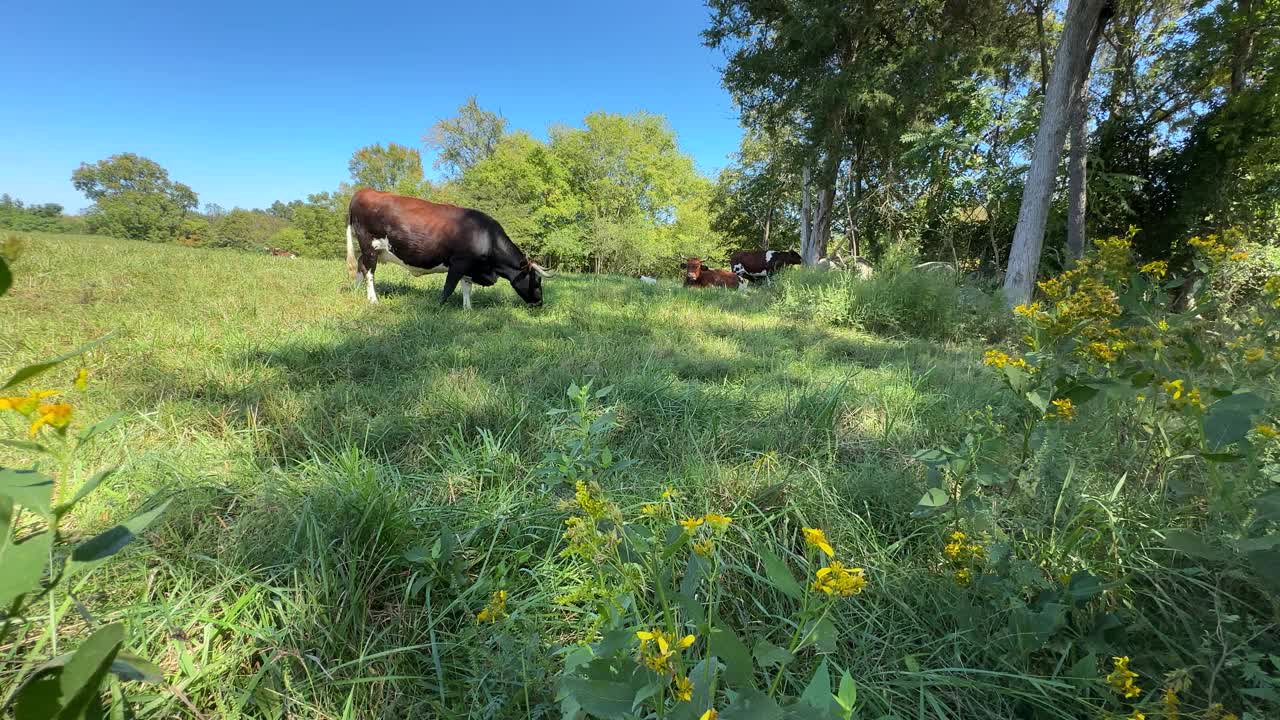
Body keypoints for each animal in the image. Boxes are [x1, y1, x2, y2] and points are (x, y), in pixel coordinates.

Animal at [345, 185, 550, 307]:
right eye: (536, 281)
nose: (540, 303)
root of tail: (364, 191)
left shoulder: (470, 266)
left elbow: (467, 288)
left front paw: (468, 308)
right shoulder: (458, 263)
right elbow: (449, 287)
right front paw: (439, 307)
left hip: (374, 250)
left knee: (361, 265)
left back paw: (355, 291)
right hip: (370, 246)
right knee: (369, 272)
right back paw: (373, 300)